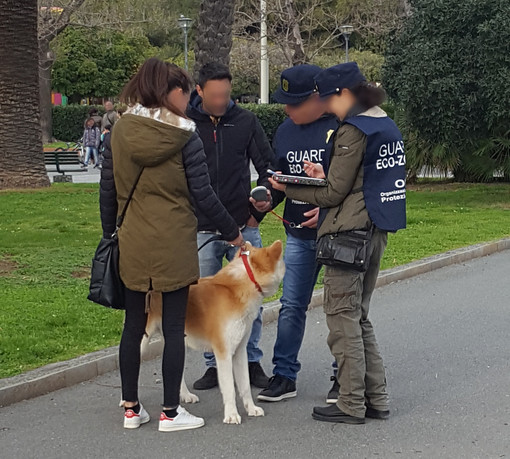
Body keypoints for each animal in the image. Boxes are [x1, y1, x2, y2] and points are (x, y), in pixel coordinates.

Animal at [141, 241, 284, 424]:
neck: (235, 289)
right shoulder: (223, 353)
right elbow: (229, 388)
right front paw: (231, 414)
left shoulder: (240, 351)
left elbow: (245, 385)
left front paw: (251, 409)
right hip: (143, 340)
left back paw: (185, 395)